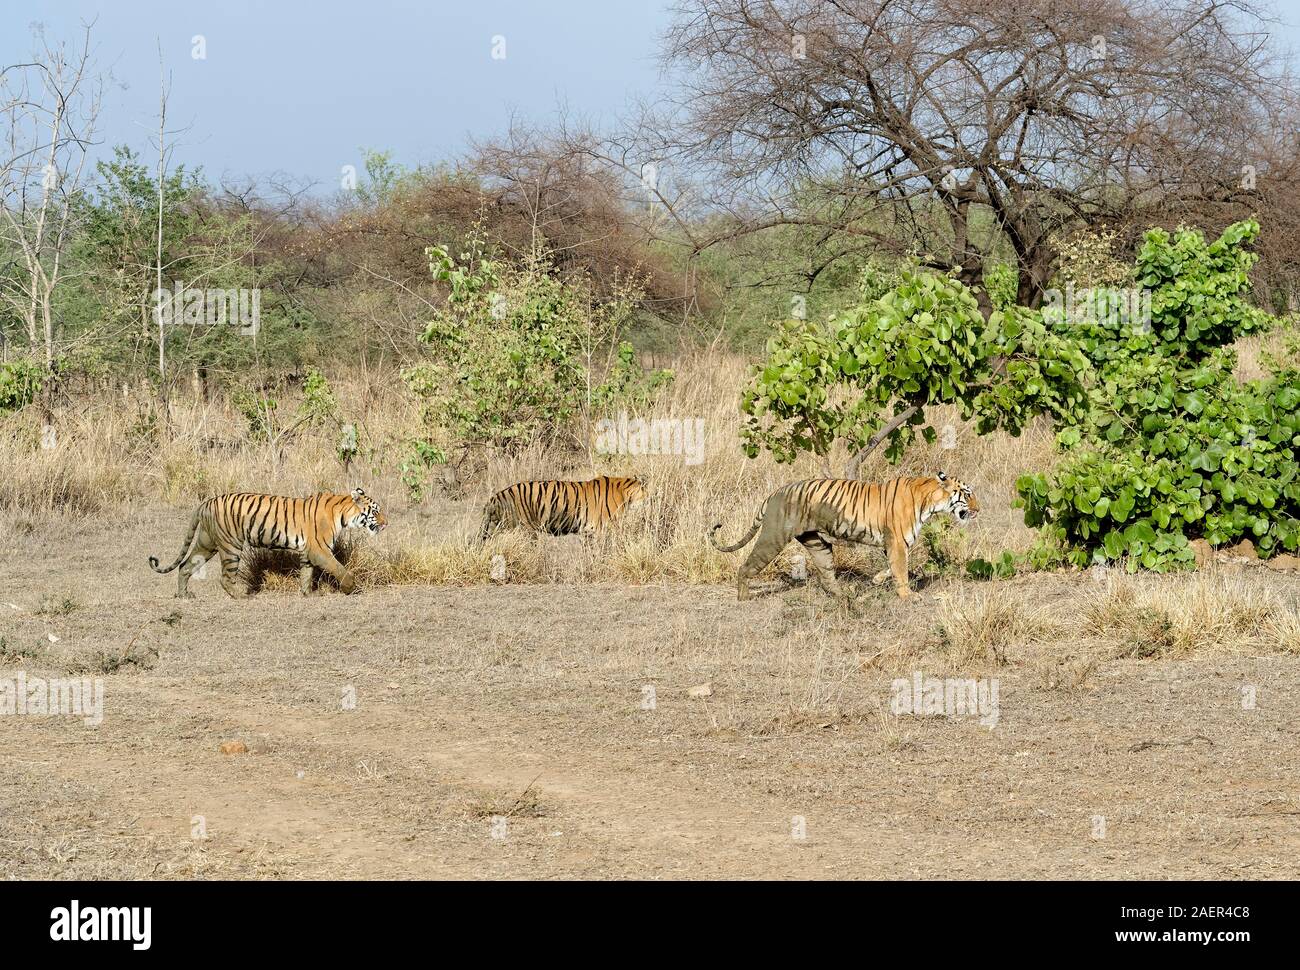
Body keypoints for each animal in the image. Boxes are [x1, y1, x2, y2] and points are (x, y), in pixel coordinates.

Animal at [148, 483, 384, 598]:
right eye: (375, 511)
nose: (386, 523)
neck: (343, 514)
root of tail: (206, 502)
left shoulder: (308, 552)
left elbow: (306, 573)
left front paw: (307, 594)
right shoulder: (320, 550)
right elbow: (339, 568)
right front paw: (350, 588)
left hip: (206, 543)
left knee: (185, 566)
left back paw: (184, 595)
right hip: (231, 546)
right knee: (224, 577)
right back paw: (242, 596)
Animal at [478, 473, 644, 540]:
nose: (649, 499)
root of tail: (494, 497)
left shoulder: (589, 532)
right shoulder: (604, 529)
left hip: (493, 528)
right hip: (525, 530)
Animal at [712, 470, 977, 598]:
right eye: (967, 493)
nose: (978, 510)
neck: (930, 501)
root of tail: (774, 493)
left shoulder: (892, 544)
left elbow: (892, 567)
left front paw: (877, 580)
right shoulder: (898, 543)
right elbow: (901, 570)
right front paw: (908, 596)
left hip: (817, 544)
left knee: (827, 575)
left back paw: (844, 595)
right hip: (773, 538)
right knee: (746, 567)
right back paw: (743, 597)